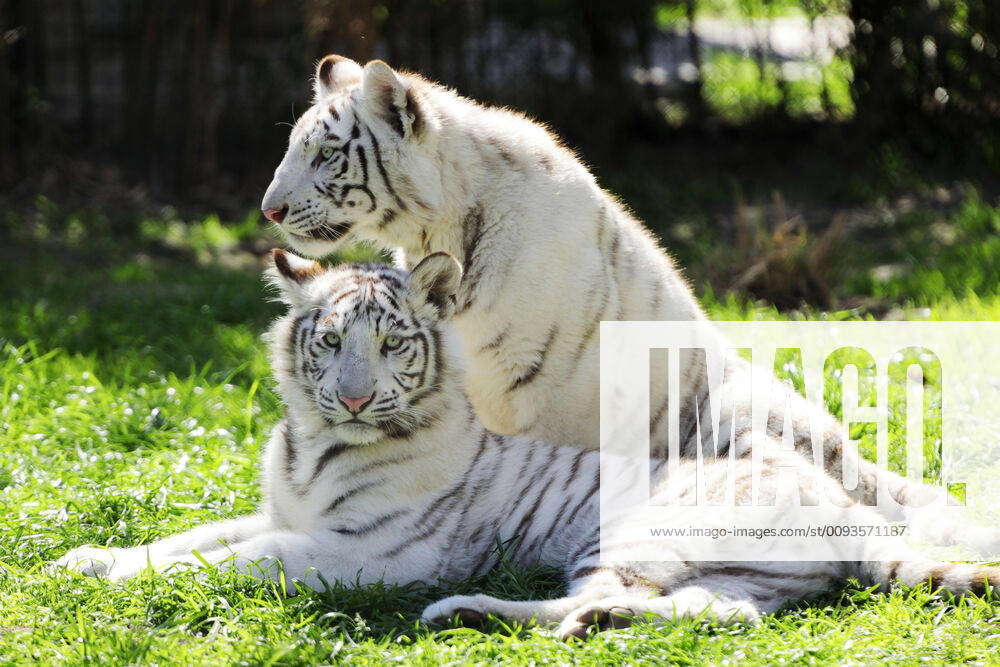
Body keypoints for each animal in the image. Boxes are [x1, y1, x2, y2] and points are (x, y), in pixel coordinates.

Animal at [52, 253, 1000, 640]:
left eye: (391, 343)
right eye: (327, 340)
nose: (353, 396)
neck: (313, 445)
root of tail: (850, 511)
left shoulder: (364, 551)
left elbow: (224, 562)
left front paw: (123, 579)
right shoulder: (276, 509)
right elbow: (191, 537)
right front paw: (82, 560)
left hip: (637, 530)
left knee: (607, 594)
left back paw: (467, 612)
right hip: (741, 577)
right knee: (710, 611)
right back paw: (566, 622)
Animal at [256, 54, 992, 552]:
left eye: (325, 155)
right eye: (293, 148)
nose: (270, 209)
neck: (437, 224)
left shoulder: (536, 384)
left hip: (739, 415)